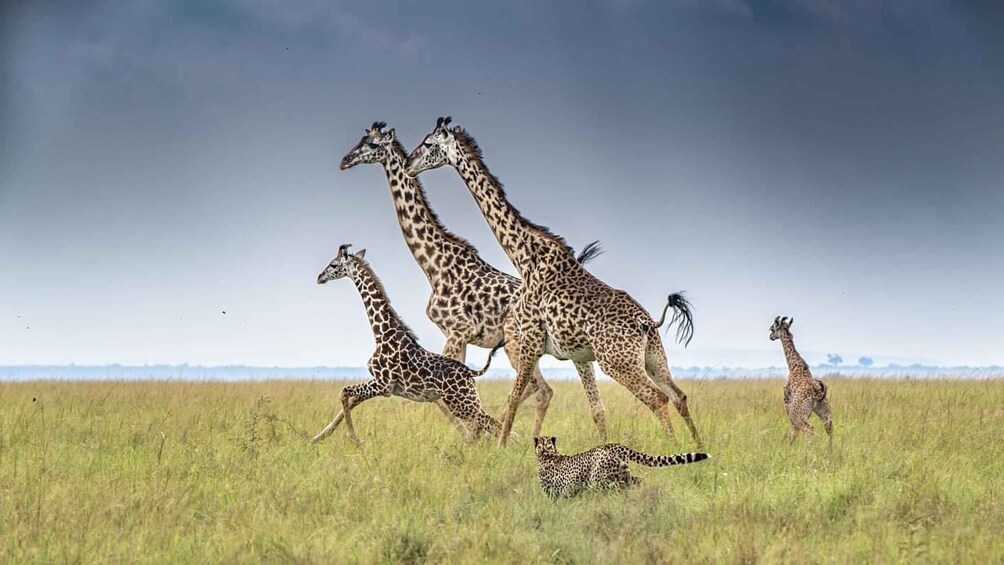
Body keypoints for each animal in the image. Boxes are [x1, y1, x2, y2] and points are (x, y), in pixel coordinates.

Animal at [311, 243, 501, 445]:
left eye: (333, 264)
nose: (320, 277)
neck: (381, 333)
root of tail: (471, 372)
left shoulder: (383, 384)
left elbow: (344, 392)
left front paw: (355, 439)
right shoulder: (382, 384)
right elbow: (349, 398)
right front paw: (319, 437)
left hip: (462, 403)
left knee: (494, 424)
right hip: (466, 402)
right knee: (488, 425)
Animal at [339, 121, 609, 440]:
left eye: (371, 144)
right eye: (361, 139)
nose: (345, 160)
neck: (435, 265)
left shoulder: (456, 332)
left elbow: (442, 395)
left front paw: (470, 437)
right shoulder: (458, 337)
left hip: (518, 346)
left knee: (540, 390)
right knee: (564, 395)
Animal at [405, 117, 700, 447]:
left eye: (428, 144)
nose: (408, 164)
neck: (525, 258)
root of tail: (647, 323)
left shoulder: (529, 340)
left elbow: (513, 398)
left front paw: (500, 448)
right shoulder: (574, 354)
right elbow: (593, 408)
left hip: (617, 362)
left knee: (656, 398)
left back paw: (675, 449)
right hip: (653, 358)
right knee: (678, 395)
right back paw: (699, 448)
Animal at [769, 316, 833, 447]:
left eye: (772, 328)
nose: (770, 337)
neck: (794, 365)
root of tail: (817, 393)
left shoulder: (787, 401)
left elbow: (793, 429)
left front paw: (790, 444)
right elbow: (794, 430)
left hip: (798, 414)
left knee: (809, 428)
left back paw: (809, 449)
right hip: (825, 411)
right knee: (829, 428)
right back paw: (831, 450)